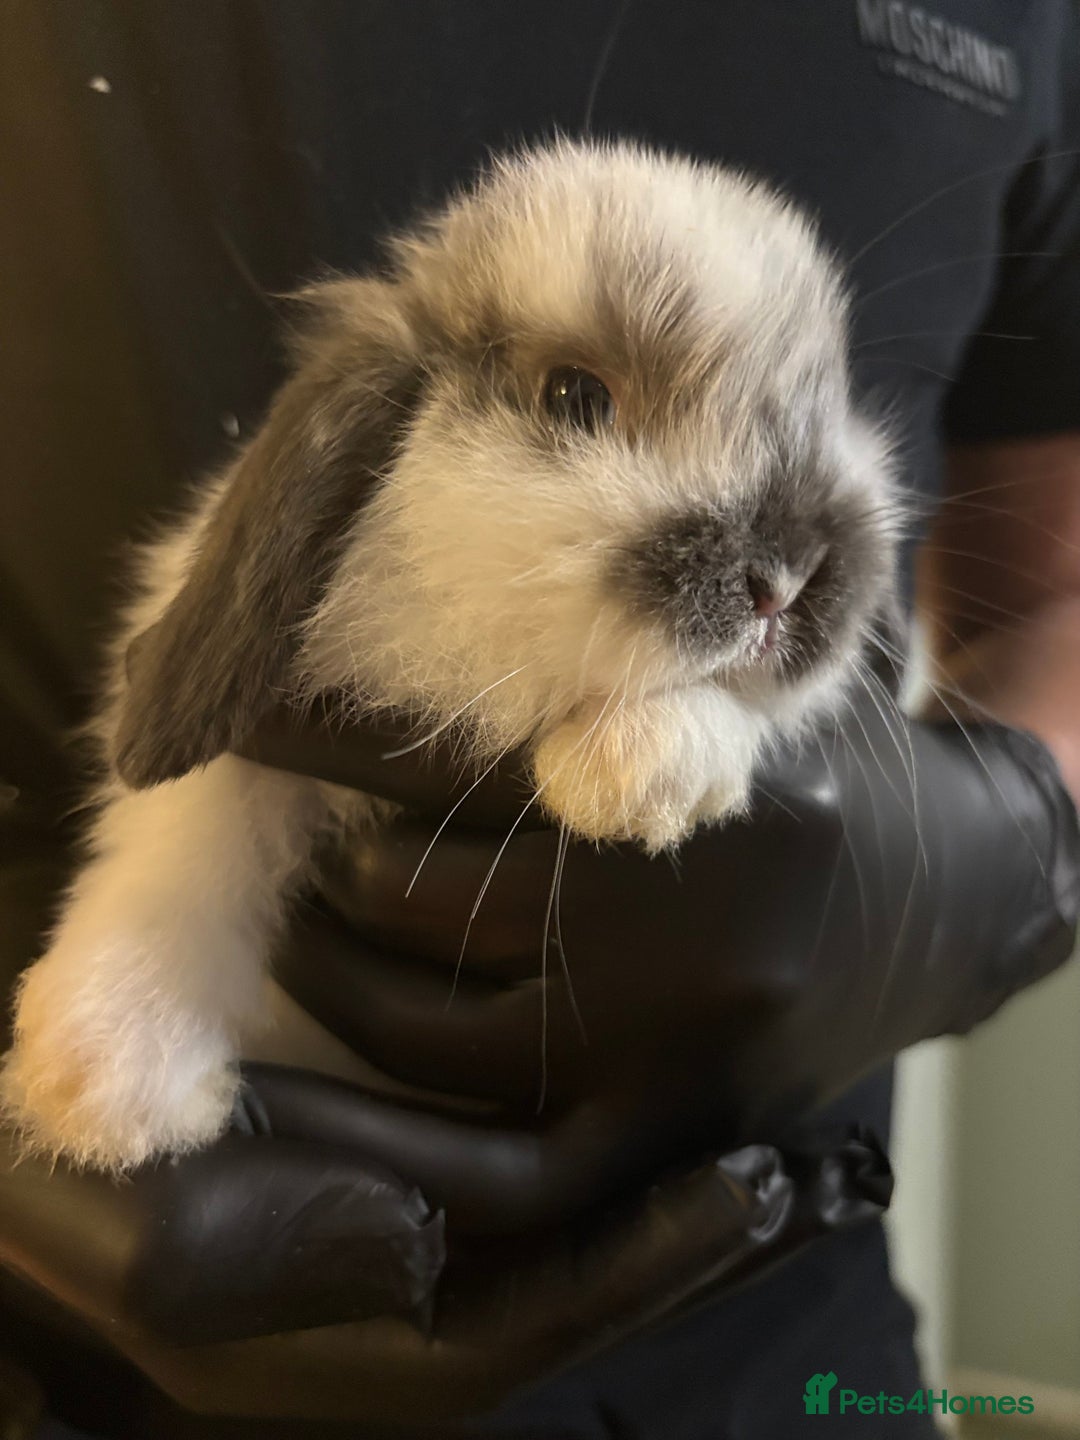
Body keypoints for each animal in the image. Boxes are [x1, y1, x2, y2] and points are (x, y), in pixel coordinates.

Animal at [1, 139, 900, 1173]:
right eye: (576, 396)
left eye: (826, 409)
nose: (785, 581)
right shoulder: (248, 757)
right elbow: (182, 849)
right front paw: (103, 1083)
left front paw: (633, 773)